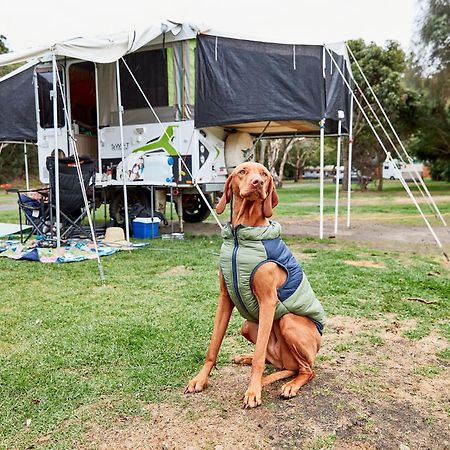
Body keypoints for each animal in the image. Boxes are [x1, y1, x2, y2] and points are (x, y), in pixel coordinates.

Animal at [185, 161, 326, 408]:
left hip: (289, 323)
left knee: (307, 370)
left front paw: (253, 392)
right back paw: (246, 358)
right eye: (242, 172)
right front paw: (200, 380)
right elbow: (213, 347)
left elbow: (260, 357)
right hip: (248, 326)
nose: (257, 183)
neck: (239, 238)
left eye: (265, 175)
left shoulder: (268, 302)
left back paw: (290, 385)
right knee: (280, 365)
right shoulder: (224, 298)